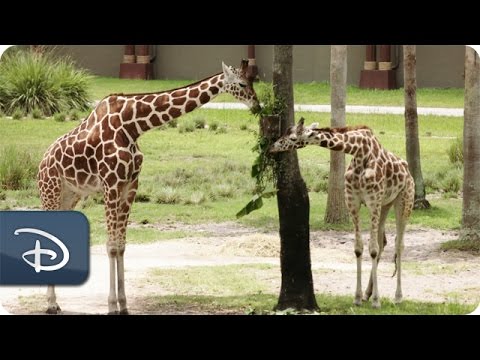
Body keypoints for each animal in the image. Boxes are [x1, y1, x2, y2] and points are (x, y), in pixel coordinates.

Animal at [38, 60, 260, 314]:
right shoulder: (111, 184)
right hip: (50, 192)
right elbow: (111, 245)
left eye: (253, 80)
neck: (133, 126)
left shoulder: (130, 184)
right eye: (241, 83)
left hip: (70, 196)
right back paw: (50, 303)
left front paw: (124, 305)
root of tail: (41, 163)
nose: (257, 105)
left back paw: (56, 302)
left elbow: (121, 246)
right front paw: (111, 306)